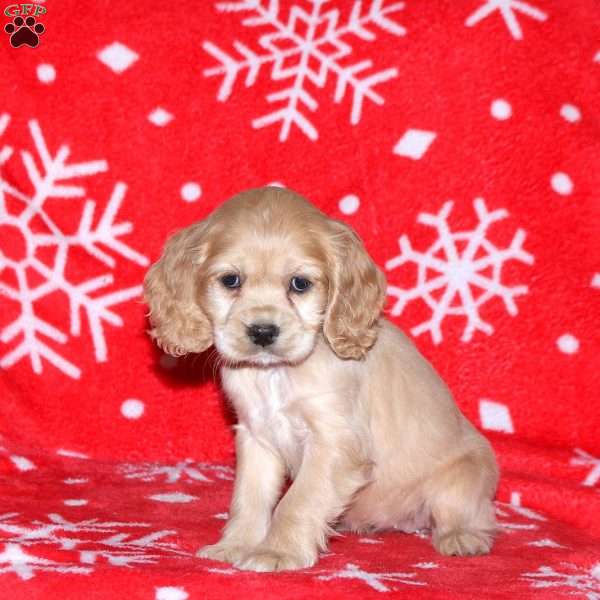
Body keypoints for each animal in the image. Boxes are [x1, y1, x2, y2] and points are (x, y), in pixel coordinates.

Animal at [144, 186, 496, 572]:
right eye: (230, 280)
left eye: (300, 284)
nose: (263, 331)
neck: (276, 374)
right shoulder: (256, 437)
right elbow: (249, 499)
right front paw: (236, 544)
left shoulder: (334, 444)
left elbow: (297, 501)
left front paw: (276, 552)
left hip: (462, 478)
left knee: (471, 515)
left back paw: (461, 537)